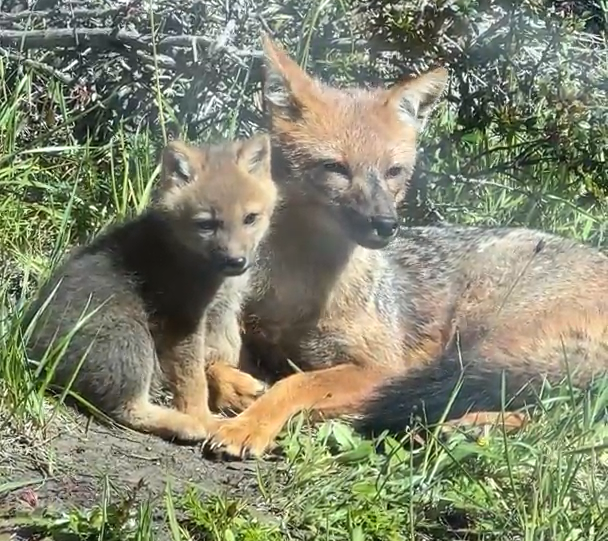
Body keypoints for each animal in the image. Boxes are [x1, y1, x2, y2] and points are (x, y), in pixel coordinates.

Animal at [205, 34, 608, 456]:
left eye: (393, 172)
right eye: (335, 168)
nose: (386, 225)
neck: (298, 287)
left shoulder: (381, 366)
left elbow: (297, 383)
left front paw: (250, 424)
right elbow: (211, 364)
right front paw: (237, 390)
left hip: (480, 338)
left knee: (553, 416)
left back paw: (462, 428)